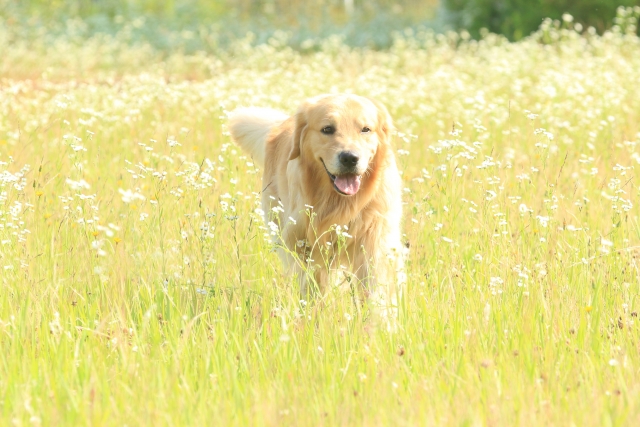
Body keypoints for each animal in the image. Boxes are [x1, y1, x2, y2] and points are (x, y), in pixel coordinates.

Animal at [228, 93, 402, 320]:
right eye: (328, 129)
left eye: (365, 129)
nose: (350, 158)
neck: (339, 204)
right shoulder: (305, 245)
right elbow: (312, 286)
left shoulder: (375, 240)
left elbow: (374, 290)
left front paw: (378, 323)